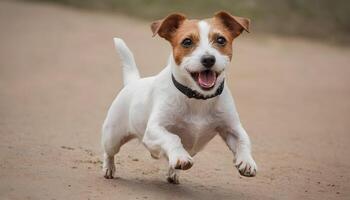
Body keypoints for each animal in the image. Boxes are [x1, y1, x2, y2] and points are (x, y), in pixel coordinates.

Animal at [101, 10, 258, 183]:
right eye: (187, 42)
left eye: (221, 40)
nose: (208, 59)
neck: (199, 98)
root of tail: (133, 81)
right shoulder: (155, 129)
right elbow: (173, 138)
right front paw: (181, 156)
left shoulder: (231, 128)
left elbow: (243, 140)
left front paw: (247, 161)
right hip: (112, 137)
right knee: (109, 152)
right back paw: (109, 168)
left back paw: (173, 173)